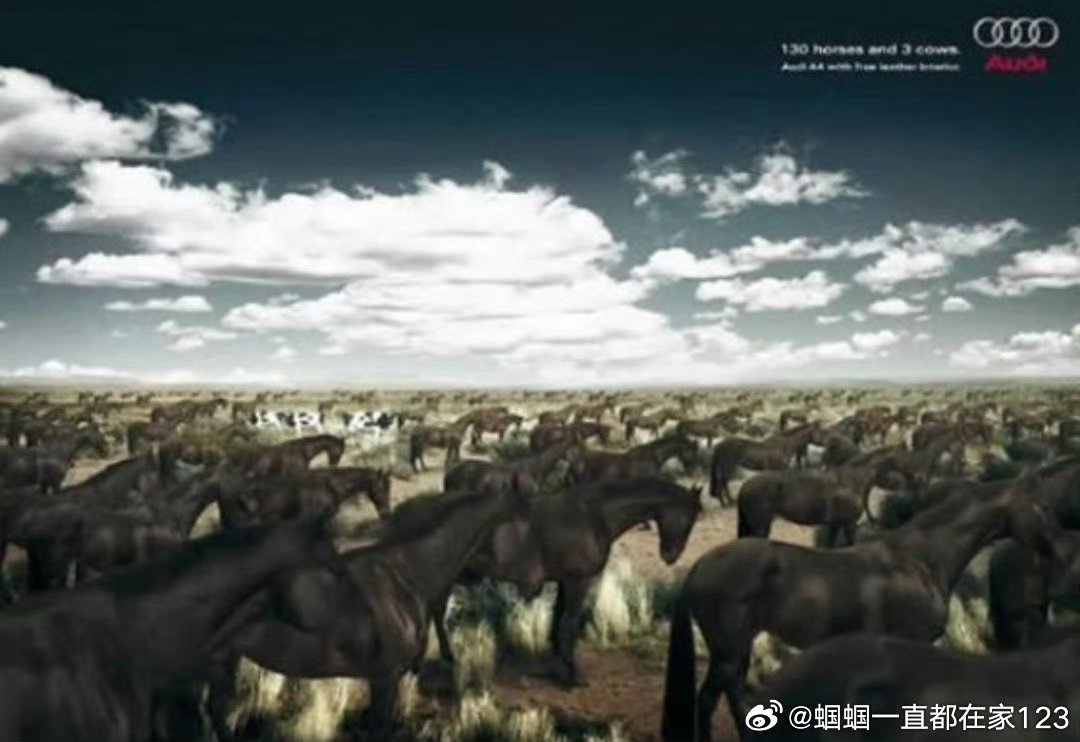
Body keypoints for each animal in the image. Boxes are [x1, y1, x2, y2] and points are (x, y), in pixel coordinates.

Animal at [431, 476, 702, 685]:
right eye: (690, 518)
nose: (670, 555)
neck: (595, 515)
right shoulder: (578, 582)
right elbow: (569, 623)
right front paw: (574, 675)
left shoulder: (564, 582)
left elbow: (558, 619)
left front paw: (557, 658)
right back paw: (449, 659)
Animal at [661, 481, 1042, 742]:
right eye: (1037, 507)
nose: (1050, 545)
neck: (920, 560)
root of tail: (700, 567)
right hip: (728, 651)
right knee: (709, 700)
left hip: (737, 649)